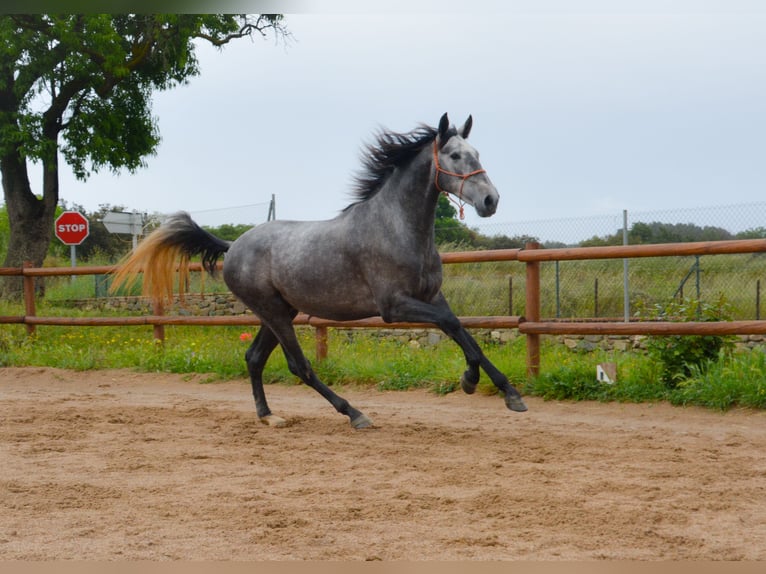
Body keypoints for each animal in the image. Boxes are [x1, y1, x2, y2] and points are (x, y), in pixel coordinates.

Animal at [111, 113, 527, 429]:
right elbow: (452, 326)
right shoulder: (394, 306)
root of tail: (233, 247)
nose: (490, 200)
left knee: (254, 358)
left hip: (278, 311)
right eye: (455, 155)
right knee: (299, 365)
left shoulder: (431, 296)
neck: (397, 227)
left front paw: (507, 393)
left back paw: (268, 416)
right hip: (275, 313)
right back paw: (354, 414)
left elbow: (463, 331)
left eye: (476, 153)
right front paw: (471, 381)